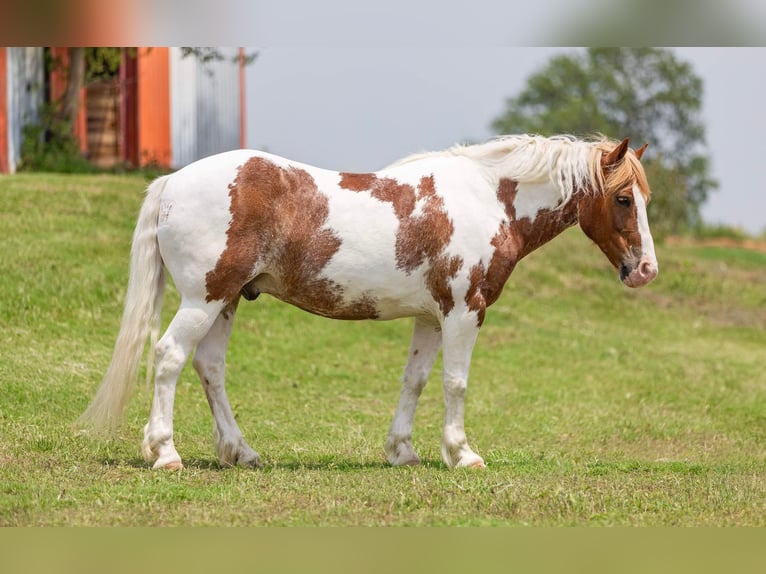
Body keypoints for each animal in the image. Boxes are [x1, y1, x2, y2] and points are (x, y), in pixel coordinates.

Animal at [78, 134, 658, 470]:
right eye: (623, 198)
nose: (645, 270)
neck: (488, 198)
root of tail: (172, 182)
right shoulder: (464, 312)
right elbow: (455, 383)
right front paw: (463, 454)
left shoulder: (432, 318)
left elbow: (416, 381)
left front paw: (403, 452)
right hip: (203, 298)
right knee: (169, 358)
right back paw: (165, 453)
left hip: (226, 301)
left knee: (209, 368)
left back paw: (241, 452)